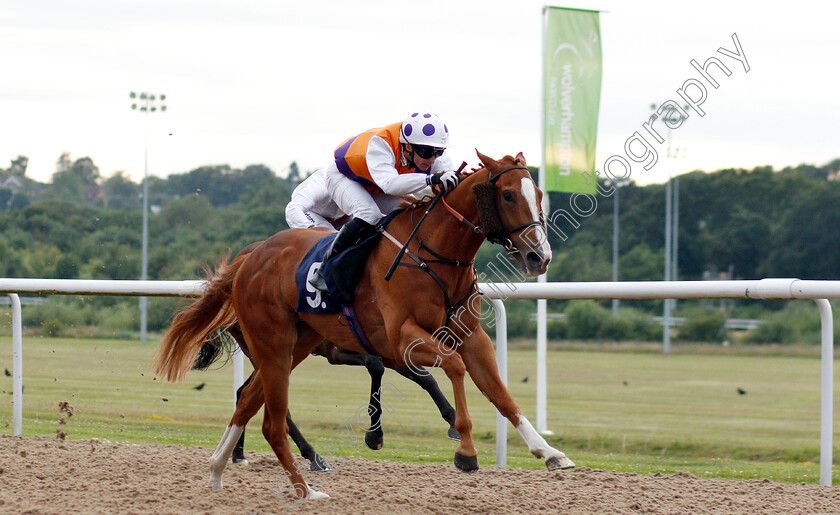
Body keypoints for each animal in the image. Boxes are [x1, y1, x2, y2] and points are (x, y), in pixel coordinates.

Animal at [151, 151, 576, 502]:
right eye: (508, 196)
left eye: (539, 192)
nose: (539, 256)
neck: (433, 255)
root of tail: (249, 257)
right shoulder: (401, 337)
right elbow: (452, 368)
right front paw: (465, 449)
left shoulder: (472, 338)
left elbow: (501, 394)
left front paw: (550, 453)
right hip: (271, 343)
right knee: (270, 420)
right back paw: (305, 488)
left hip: (295, 345)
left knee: (247, 401)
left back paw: (219, 469)